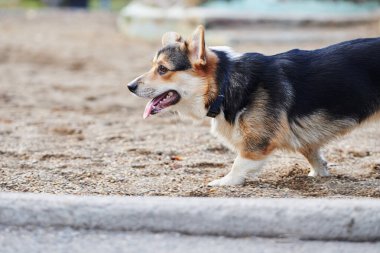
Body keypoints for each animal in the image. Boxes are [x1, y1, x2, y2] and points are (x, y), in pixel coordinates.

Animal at [127, 26, 380, 186]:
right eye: (154, 66)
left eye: (162, 69)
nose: (129, 86)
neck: (224, 82)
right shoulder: (304, 139)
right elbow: (313, 154)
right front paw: (320, 174)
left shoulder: (256, 143)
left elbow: (239, 163)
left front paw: (224, 182)